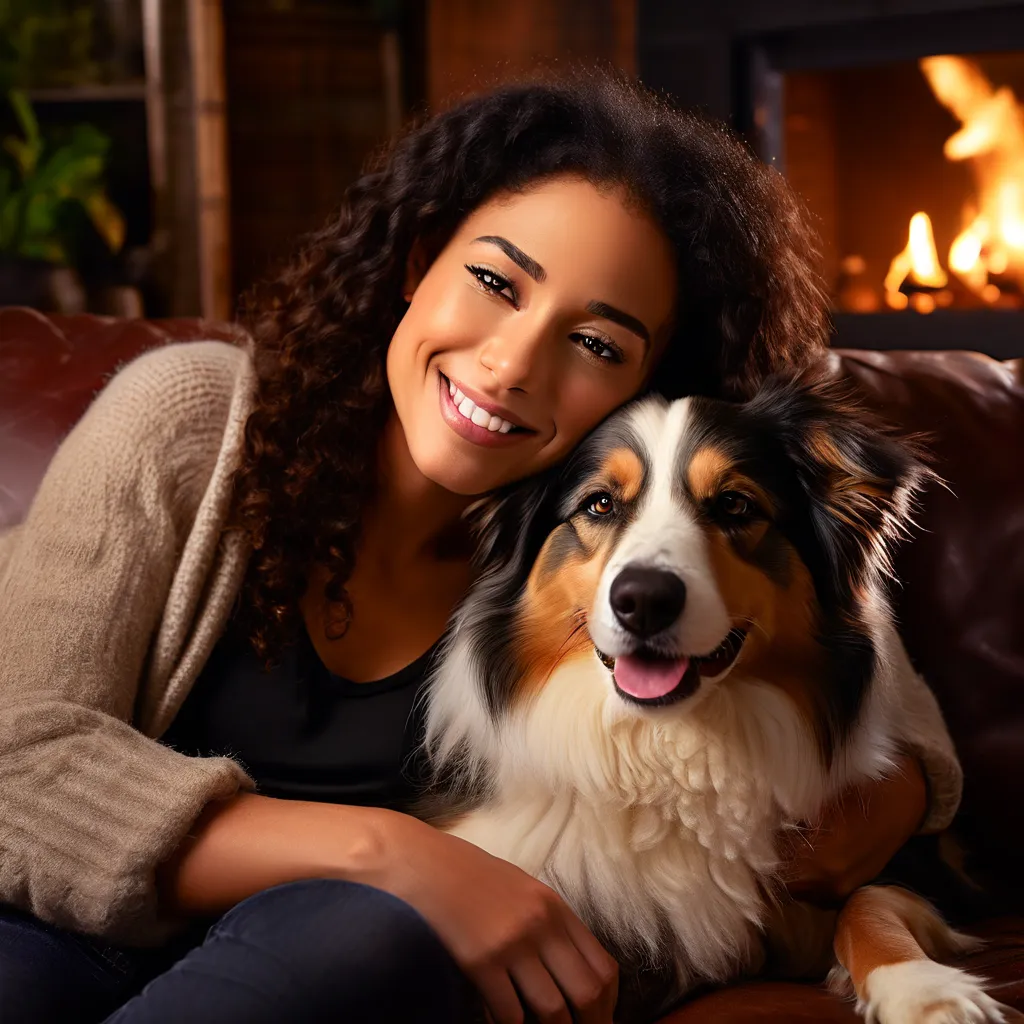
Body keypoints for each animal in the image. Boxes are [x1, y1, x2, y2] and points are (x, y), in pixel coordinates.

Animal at [417, 374, 1007, 1024]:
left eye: (735, 505)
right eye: (599, 504)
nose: (644, 600)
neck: (668, 750)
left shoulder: (906, 868)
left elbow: (870, 903)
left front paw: (924, 991)